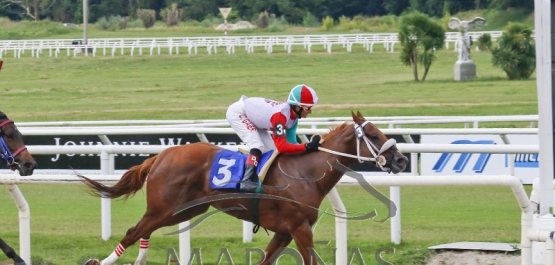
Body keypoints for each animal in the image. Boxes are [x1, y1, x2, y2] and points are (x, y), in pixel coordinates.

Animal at [80, 112, 406, 264]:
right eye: (374, 135)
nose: (401, 160)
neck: (306, 173)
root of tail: (161, 155)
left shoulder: (284, 231)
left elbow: (265, 260)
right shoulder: (299, 227)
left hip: (181, 210)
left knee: (143, 230)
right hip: (164, 207)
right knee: (133, 231)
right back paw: (101, 261)